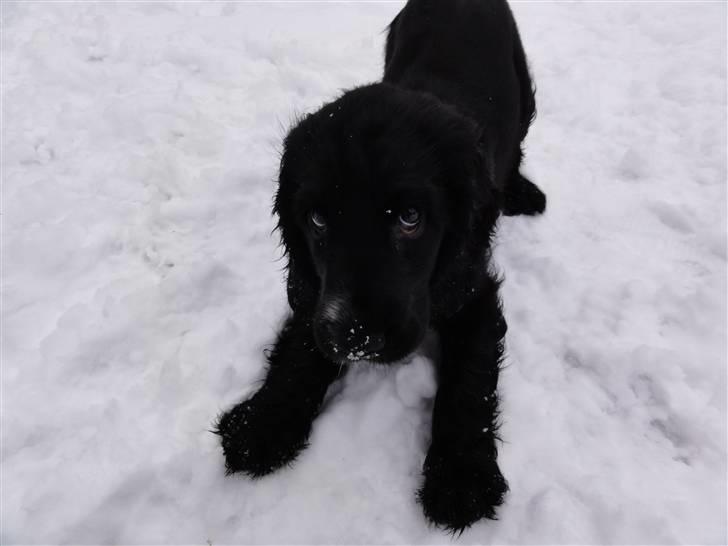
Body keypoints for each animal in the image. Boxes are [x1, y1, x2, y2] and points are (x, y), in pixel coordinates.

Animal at [216, 0, 544, 528]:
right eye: (317, 220)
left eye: (410, 218)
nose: (357, 338)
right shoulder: (318, 293)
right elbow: (300, 346)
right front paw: (262, 424)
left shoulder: (472, 287)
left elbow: (470, 378)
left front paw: (461, 478)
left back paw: (522, 192)